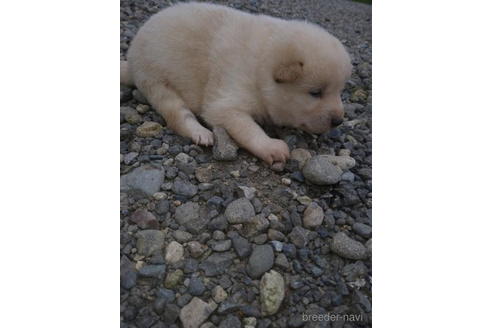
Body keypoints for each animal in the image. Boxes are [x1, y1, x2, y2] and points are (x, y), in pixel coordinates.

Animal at [119, 1, 352, 167]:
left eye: (339, 91)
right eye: (316, 93)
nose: (338, 121)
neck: (261, 64)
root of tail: (131, 59)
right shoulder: (227, 100)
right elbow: (247, 127)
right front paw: (271, 147)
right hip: (155, 80)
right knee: (177, 114)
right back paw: (200, 133)